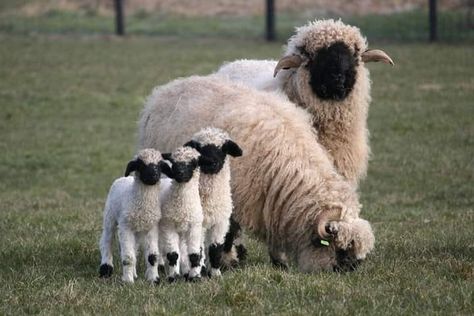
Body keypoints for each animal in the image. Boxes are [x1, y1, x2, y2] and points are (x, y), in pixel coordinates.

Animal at [97, 148, 171, 284]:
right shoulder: (125, 227)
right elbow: (128, 257)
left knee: (134, 248)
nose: (153, 175)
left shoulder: (152, 228)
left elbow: (152, 257)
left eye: (159, 165)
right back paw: (106, 269)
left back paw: (134, 273)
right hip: (110, 217)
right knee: (106, 241)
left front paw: (154, 280)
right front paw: (128, 281)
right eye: (141, 165)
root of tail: (122, 178)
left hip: (136, 230)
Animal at [137, 75, 374, 272]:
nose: (351, 270)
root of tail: (169, 87)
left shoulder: (274, 200)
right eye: (341, 249)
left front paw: (280, 262)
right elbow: (228, 232)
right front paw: (226, 261)